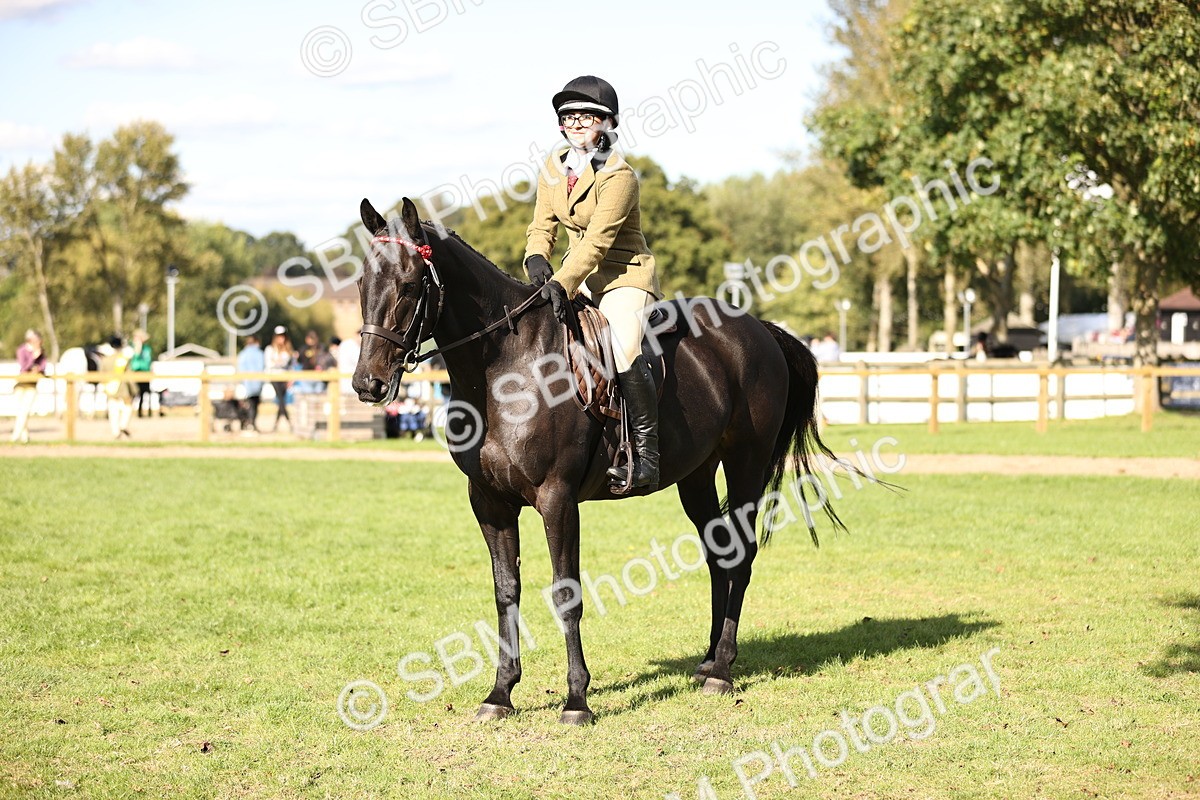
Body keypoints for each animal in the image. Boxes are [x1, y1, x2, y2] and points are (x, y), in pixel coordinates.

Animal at [352, 197, 845, 725]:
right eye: (362, 284)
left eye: (408, 285)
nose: (368, 384)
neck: (507, 368)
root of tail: (760, 328)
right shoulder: (489, 502)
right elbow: (507, 592)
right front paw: (500, 693)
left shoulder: (558, 499)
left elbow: (566, 593)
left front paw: (576, 700)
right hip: (696, 475)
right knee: (721, 555)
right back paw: (710, 660)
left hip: (745, 463)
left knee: (744, 555)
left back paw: (722, 671)